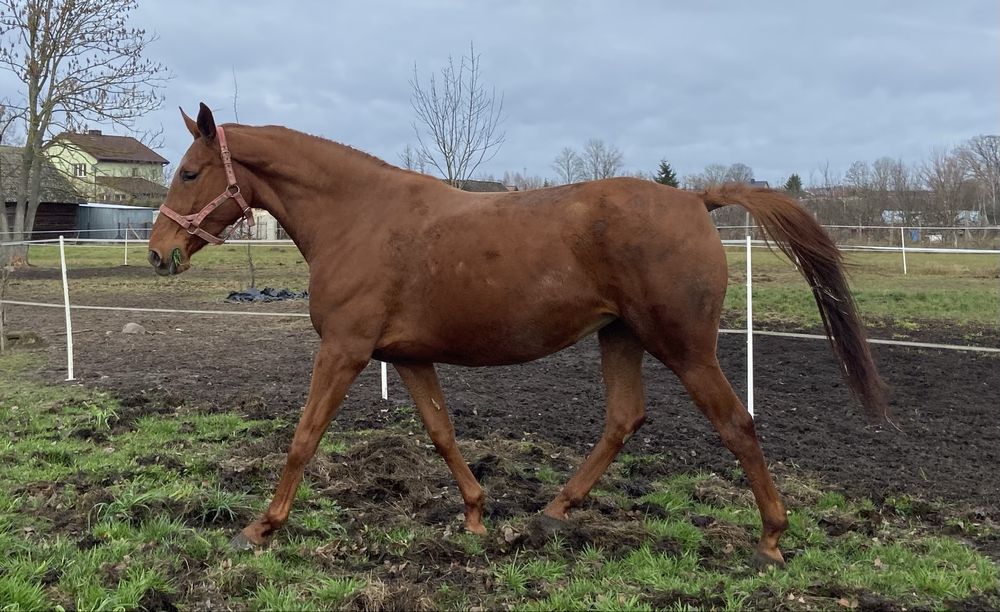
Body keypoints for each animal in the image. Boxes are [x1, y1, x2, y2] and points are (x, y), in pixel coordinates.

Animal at [148, 103, 888, 566]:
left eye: (190, 172)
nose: (159, 254)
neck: (359, 217)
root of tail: (695, 199)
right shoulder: (407, 357)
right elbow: (442, 432)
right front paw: (477, 517)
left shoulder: (345, 351)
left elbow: (303, 439)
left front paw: (259, 529)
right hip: (619, 337)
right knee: (625, 418)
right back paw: (552, 513)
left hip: (685, 348)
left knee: (737, 425)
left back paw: (770, 539)